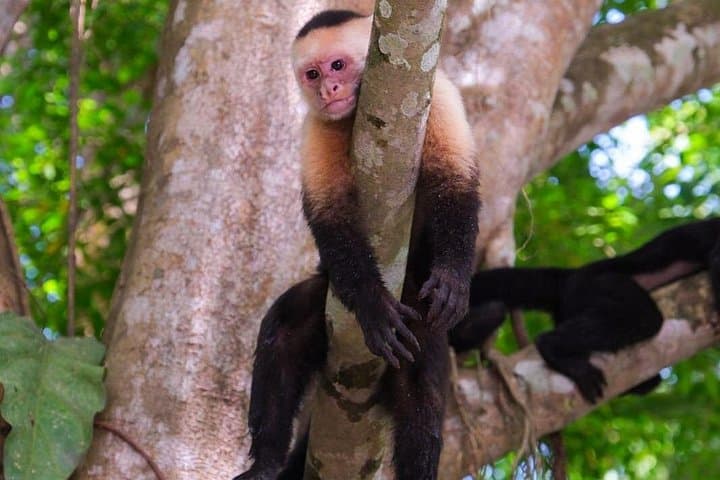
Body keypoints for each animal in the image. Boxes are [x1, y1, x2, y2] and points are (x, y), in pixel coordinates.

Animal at [234, 9, 480, 480]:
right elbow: (332, 221)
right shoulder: (316, 127)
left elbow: (455, 184)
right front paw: (372, 304)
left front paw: (454, 278)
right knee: (284, 333)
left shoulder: (438, 97)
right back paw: (268, 461)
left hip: (419, 313)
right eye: (312, 74)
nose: (328, 90)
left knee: (422, 391)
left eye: (337, 66)